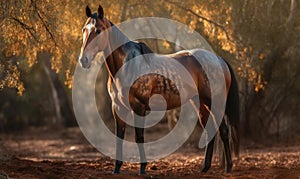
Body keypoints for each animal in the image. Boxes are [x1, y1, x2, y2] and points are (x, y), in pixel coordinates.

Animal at [78, 4, 239, 174]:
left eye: (98, 30)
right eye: (84, 29)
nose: (83, 60)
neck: (126, 65)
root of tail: (219, 59)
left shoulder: (139, 107)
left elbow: (139, 138)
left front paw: (142, 168)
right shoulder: (118, 108)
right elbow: (119, 137)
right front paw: (116, 169)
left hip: (216, 103)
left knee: (224, 131)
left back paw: (228, 167)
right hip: (200, 103)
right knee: (211, 131)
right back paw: (205, 168)